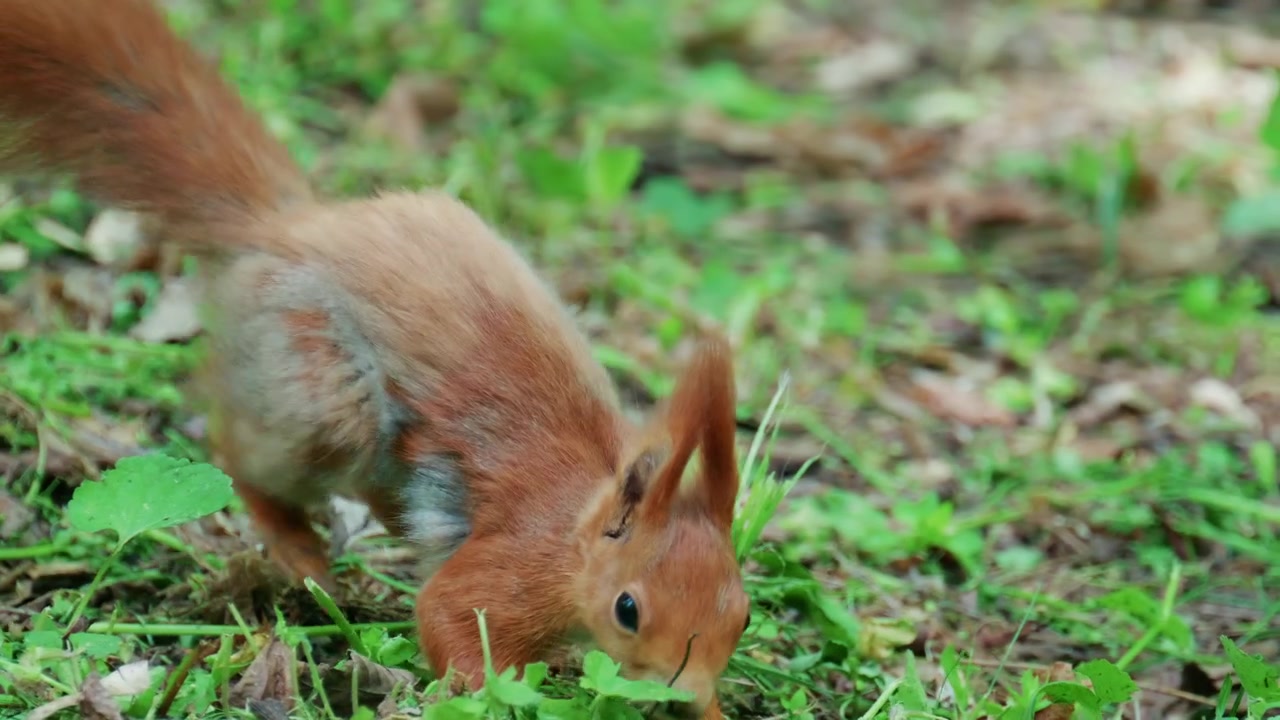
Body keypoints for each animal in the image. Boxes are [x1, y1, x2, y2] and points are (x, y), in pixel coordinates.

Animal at [0, 2, 750, 717]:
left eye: (740, 614)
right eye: (628, 610)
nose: (686, 696)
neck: (576, 524)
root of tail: (281, 229)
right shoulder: (517, 563)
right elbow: (448, 617)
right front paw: (490, 694)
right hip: (320, 395)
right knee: (243, 458)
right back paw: (298, 550)